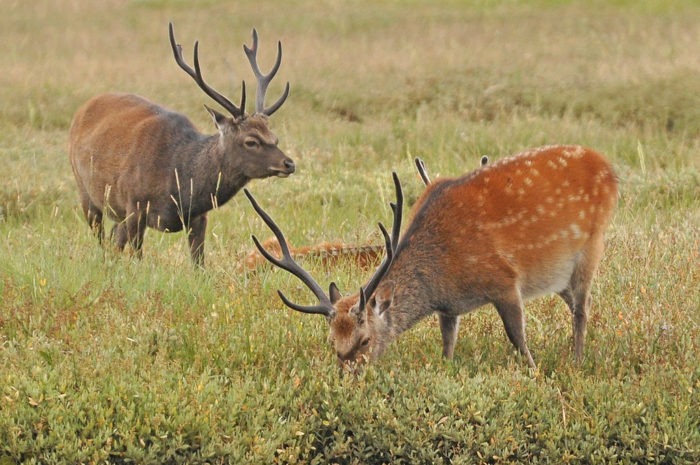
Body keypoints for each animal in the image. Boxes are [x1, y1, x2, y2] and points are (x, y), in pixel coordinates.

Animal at [68, 23, 292, 266]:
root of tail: (83, 107)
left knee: (113, 239)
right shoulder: (135, 205)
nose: (289, 163)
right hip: (86, 191)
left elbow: (198, 263)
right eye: (251, 141)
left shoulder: (198, 217)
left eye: (275, 137)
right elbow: (137, 257)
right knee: (100, 236)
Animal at [246, 145, 616, 370]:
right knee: (578, 303)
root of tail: (608, 166)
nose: (347, 378)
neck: (441, 276)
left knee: (582, 306)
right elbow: (447, 345)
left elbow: (518, 339)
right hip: (559, 276)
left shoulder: (505, 281)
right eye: (331, 340)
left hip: (591, 246)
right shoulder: (449, 308)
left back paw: (576, 361)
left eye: (365, 339)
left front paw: (536, 372)